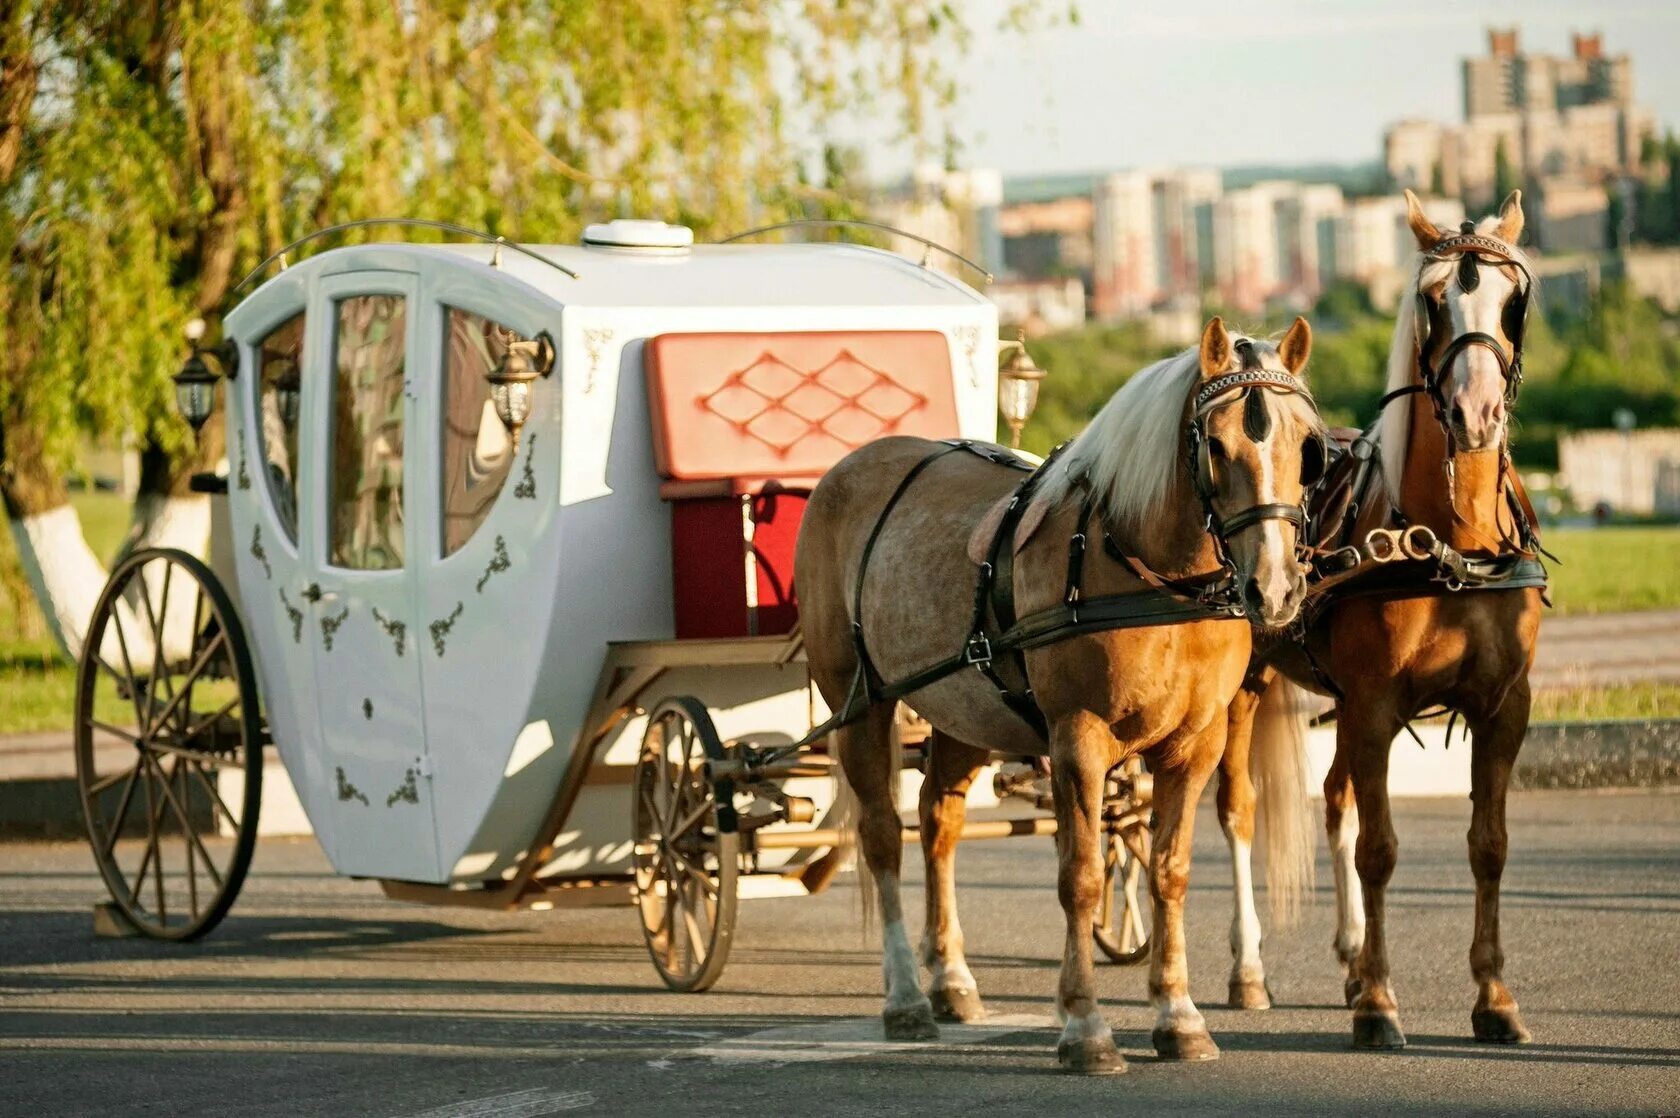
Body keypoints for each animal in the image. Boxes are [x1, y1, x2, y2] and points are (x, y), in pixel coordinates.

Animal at [799, 316, 1323, 1075]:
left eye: (1308, 449)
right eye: (1217, 446)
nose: (1276, 588)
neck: (1149, 575)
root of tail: (851, 466)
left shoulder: (1195, 744)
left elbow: (1170, 872)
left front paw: (1179, 1015)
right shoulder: (1079, 739)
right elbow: (1081, 876)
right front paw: (1085, 1026)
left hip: (963, 710)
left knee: (938, 824)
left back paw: (951, 979)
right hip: (859, 701)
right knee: (882, 836)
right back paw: (905, 997)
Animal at [1223, 191, 1545, 1049]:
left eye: (1513, 298)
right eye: (1434, 301)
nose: (1475, 411)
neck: (1454, 542)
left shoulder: (1505, 707)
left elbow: (1490, 845)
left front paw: (1494, 996)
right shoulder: (1372, 708)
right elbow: (1379, 849)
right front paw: (1378, 1002)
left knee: (1334, 796)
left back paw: (1349, 953)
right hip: (1242, 689)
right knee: (1239, 811)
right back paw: (1250, 968)